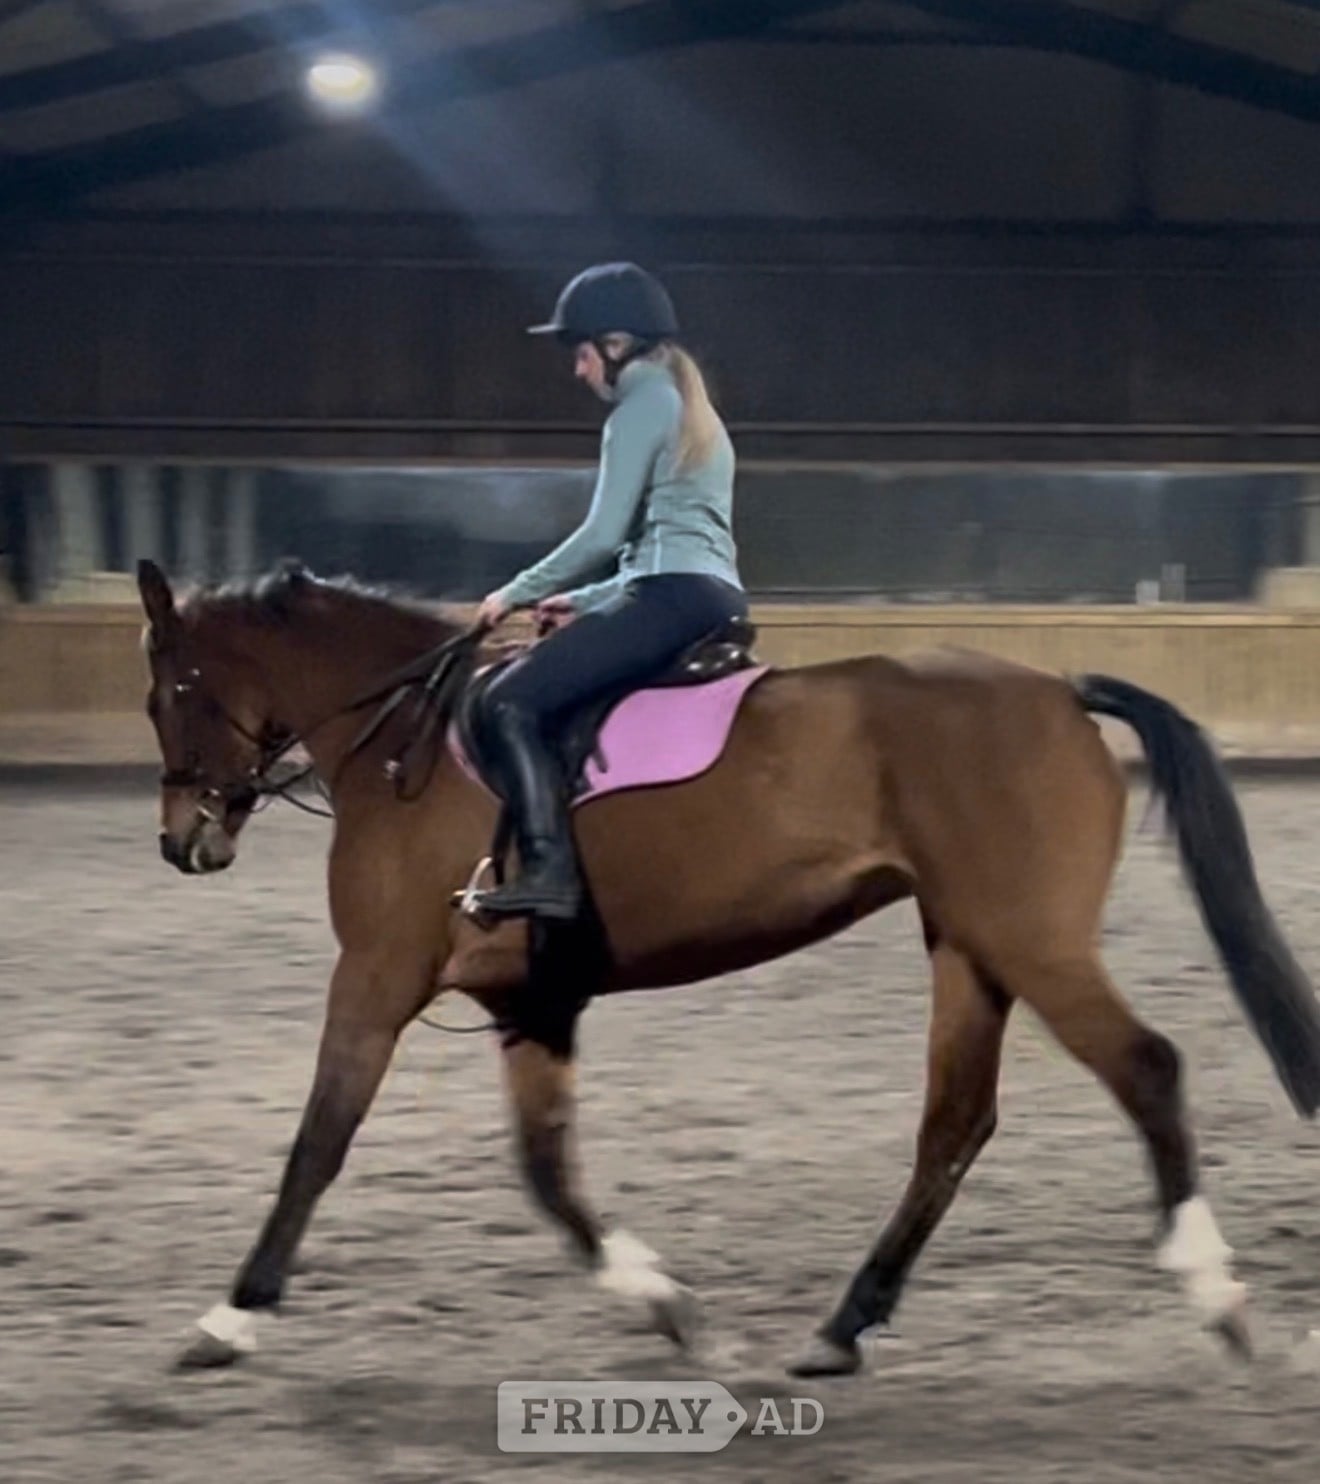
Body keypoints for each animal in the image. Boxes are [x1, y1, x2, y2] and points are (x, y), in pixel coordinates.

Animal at [133, 556, 1320, 1377]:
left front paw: (228, 1318)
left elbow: (316, 1145)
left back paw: (1215, 1295)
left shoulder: (378, 979)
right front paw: (665, 1302)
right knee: (955, 1122)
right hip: (971, 942)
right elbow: (547, 1169)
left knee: (1146, 1067)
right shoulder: (533, 998)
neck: (403, 745)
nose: (186, 842)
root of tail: (1062, 692)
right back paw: (843, 1326)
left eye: (169, 693)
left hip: (1031, 936)